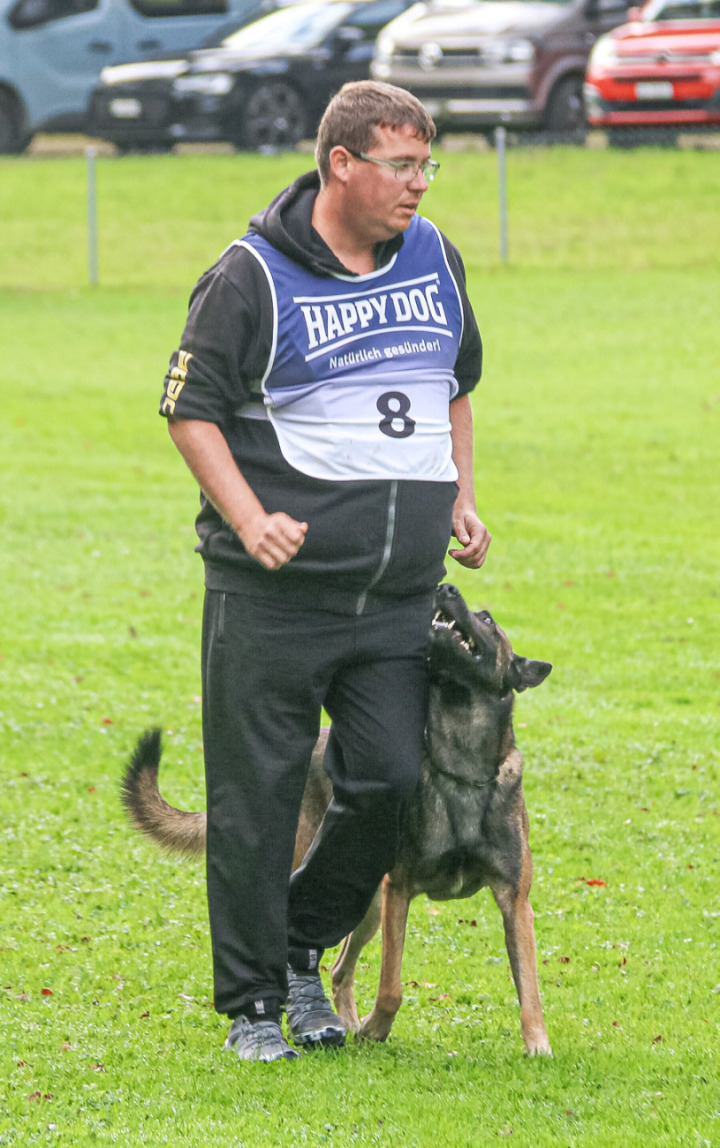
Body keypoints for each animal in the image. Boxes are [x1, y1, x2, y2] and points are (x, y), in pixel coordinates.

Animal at [122, 587, 551, 1051]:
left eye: (486, 619)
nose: (445, 588)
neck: (462, 764)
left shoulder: (515, 902)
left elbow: (529, 986)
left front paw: (537, 1044)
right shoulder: (399, 892)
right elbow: (391, 986)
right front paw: (377, 1027)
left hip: (365, 906)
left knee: (341, 967)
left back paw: (343, 1020)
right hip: (348, 890)